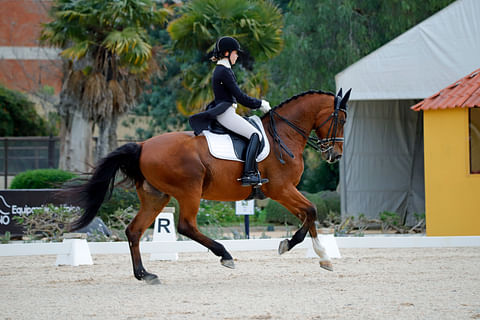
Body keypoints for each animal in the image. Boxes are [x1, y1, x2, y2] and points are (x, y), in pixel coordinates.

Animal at [66, 89, 348, 284]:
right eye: (342, 120)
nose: (335, 155)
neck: (284, 135)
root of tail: (143, 145)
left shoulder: (284, 191)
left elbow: (308, 215)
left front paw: (323, 257)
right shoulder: (281, 189)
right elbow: (311, 211)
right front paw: (293, 247)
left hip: (156, 196)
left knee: (134, 231)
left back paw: (145, 275)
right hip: (189, 190)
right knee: (185, 225)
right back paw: (225, 255)